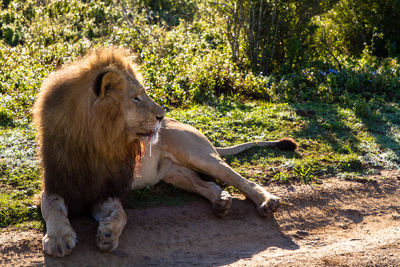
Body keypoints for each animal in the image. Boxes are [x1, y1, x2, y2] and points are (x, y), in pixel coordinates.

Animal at [32, 47, 296, 258]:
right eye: (136, 98)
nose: (162, 115)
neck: (94, 142)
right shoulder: (55, 185)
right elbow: (53, 210)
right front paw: (58, 238)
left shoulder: (109, 192)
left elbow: (121, 216)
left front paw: (107, 234)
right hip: (173, 172)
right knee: (208, 185)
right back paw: (221, 202)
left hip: (199, 155)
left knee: (240, 179)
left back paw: (267, 201)